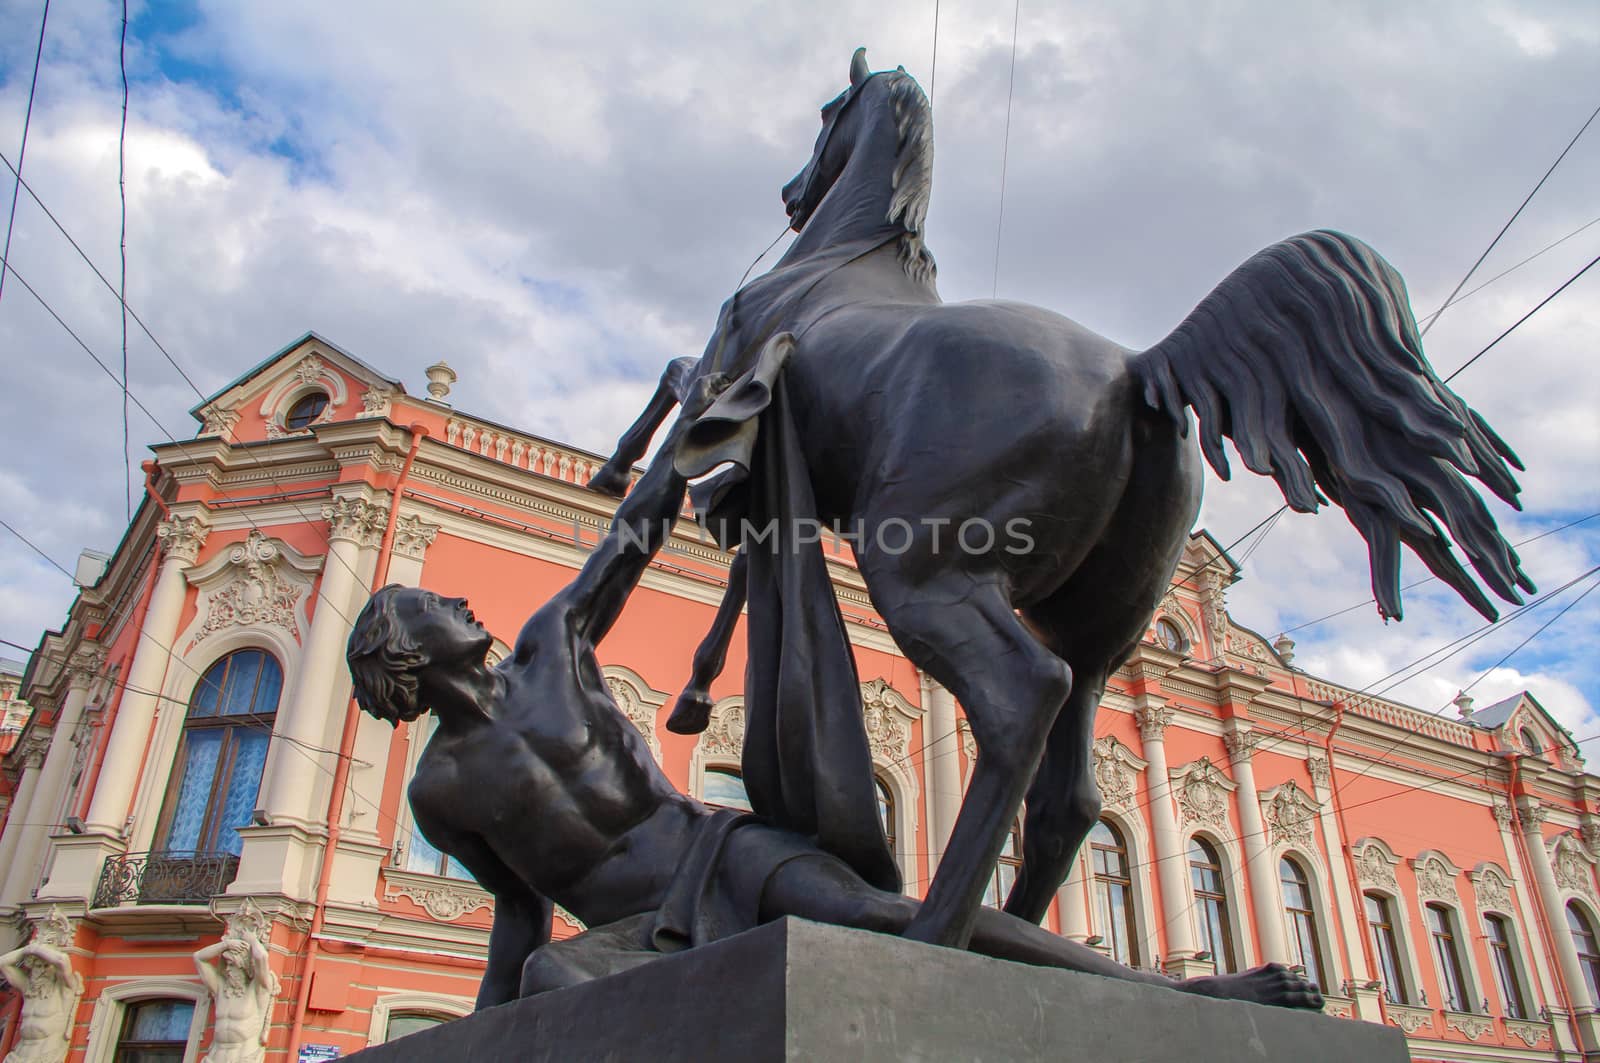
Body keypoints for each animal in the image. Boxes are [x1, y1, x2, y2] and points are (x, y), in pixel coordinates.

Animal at [592, 49, 1523, 947]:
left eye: (829, 113)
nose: (792, 194)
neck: (843, 256)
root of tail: (1139, 367)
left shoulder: (721, 379)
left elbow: (664, 423)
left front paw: (608, 496)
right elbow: (733, 554)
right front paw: (697, 673)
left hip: (926, 578)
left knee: (1020, 700)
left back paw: (933, 930)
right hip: (1098, 640)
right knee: (1069, 793)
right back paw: (1021, 933)